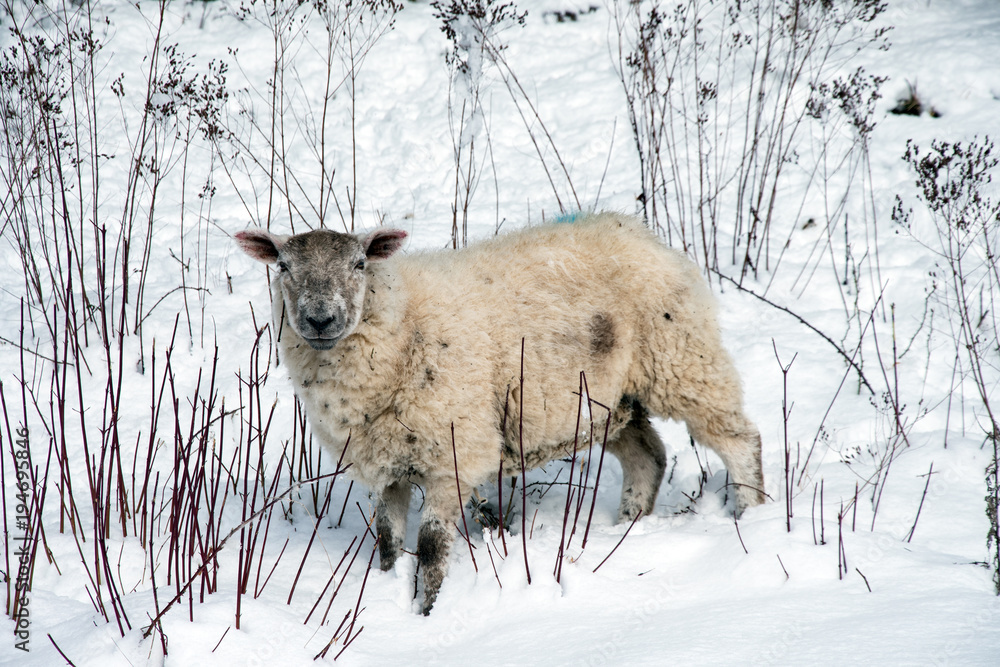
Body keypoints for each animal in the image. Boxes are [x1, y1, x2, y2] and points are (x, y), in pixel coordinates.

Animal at [235, 212, 765, 614]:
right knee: (648, 456)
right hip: (606, 401)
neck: (401, 325)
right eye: (283, 265)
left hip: (682, 359)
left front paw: (425, 613)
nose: (319, 319)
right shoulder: (387, 461)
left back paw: (750, 514)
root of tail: (642, 232)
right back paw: (628, 526)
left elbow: (432, 547)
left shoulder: (454, 455)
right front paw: (389, 587)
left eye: (360, 263)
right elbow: (387, 539)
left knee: (739, 439)